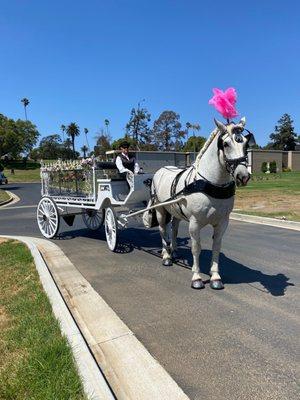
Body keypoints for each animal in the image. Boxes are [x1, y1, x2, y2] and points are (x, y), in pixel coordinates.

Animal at [151, 117, 254, 290]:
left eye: (245, 143)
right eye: (226, 144)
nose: (243, 176)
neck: (210, 183)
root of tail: (161, 170)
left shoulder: (222, 222)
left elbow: (216, 248)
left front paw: (215, 277)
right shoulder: (195, 223)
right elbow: (196, 248)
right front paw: (197, 277)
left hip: (175, 210)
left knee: (174, 229)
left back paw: (174, 251)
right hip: (160, 209)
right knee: (162, 230)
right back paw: (166, 256)